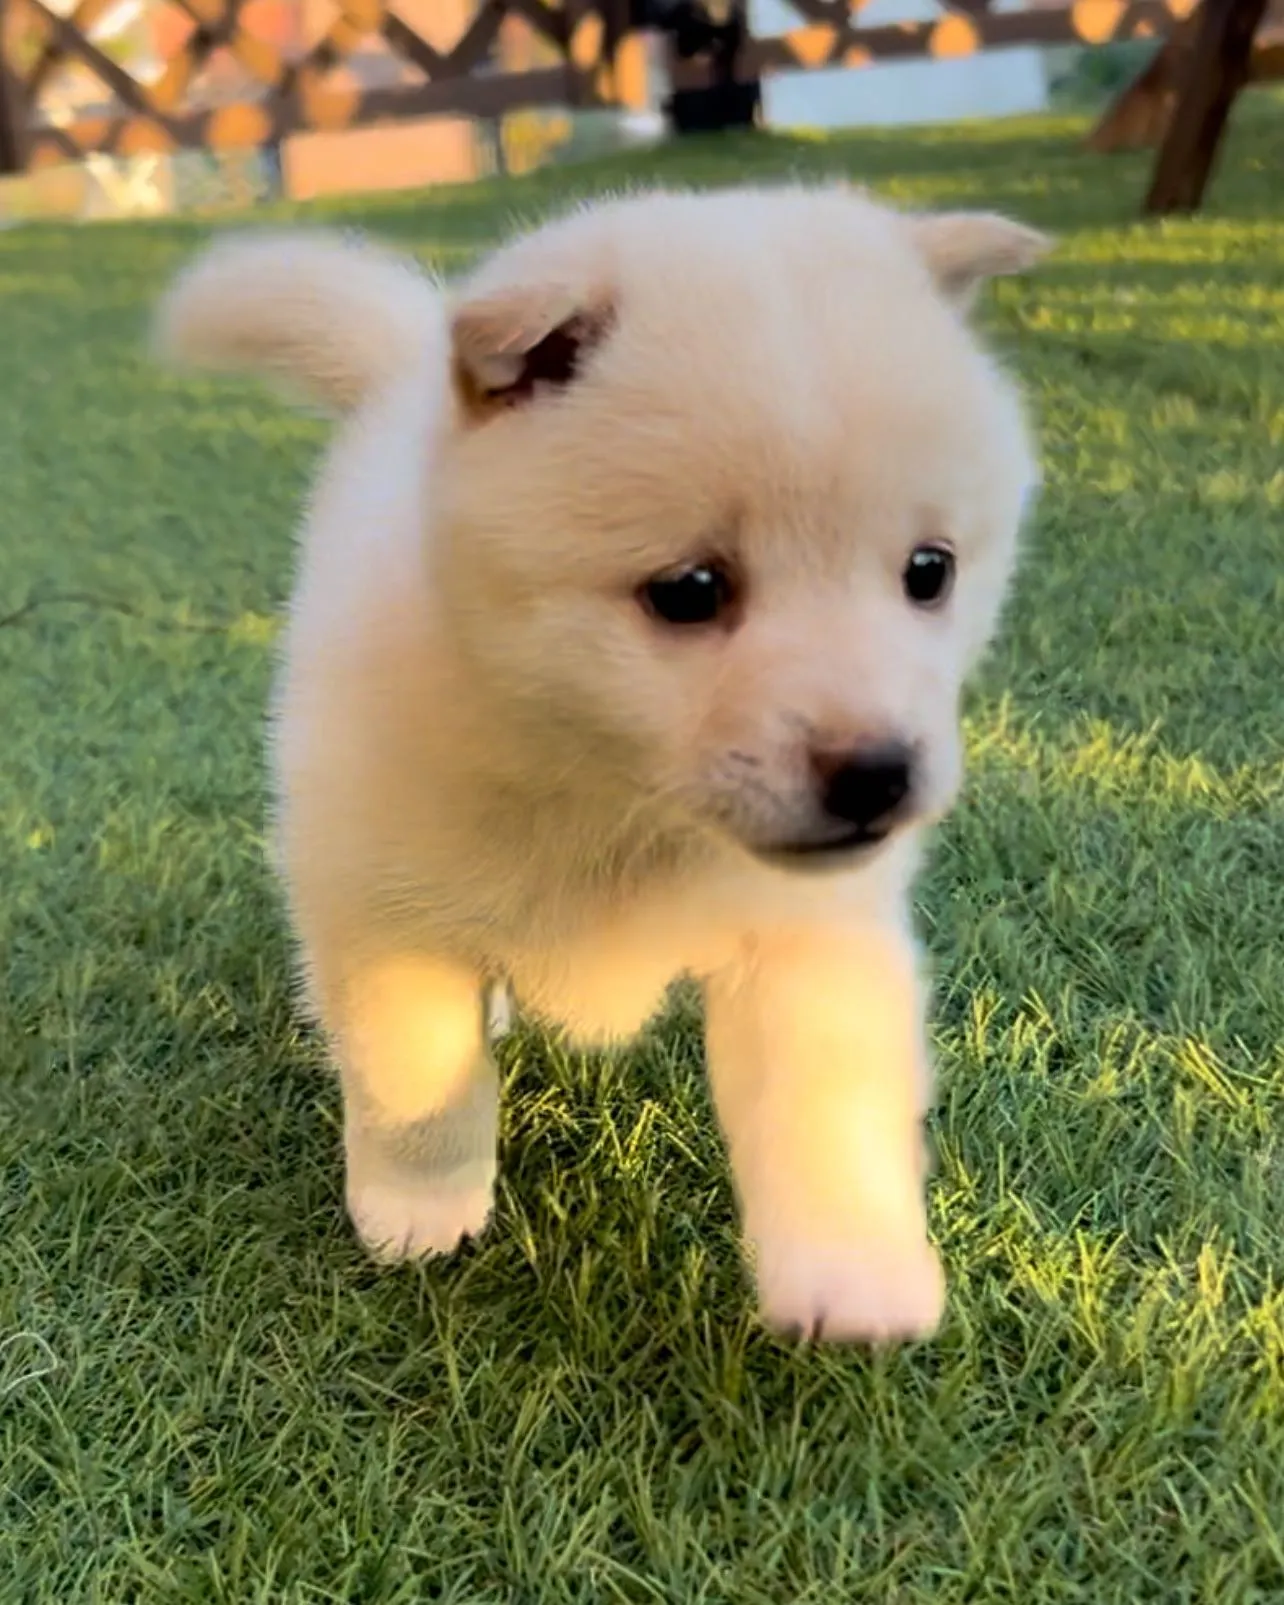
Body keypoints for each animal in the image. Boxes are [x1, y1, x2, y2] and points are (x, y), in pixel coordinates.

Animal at [155, 184, 1046, 1341]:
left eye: (929, 571)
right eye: (690, 590)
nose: (877, 774)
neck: (611, 791)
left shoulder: (806, 936)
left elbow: (827, 1102)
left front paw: (855, 1272)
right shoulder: (389, 915)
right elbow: (414, 1082)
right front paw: (416, 1210)